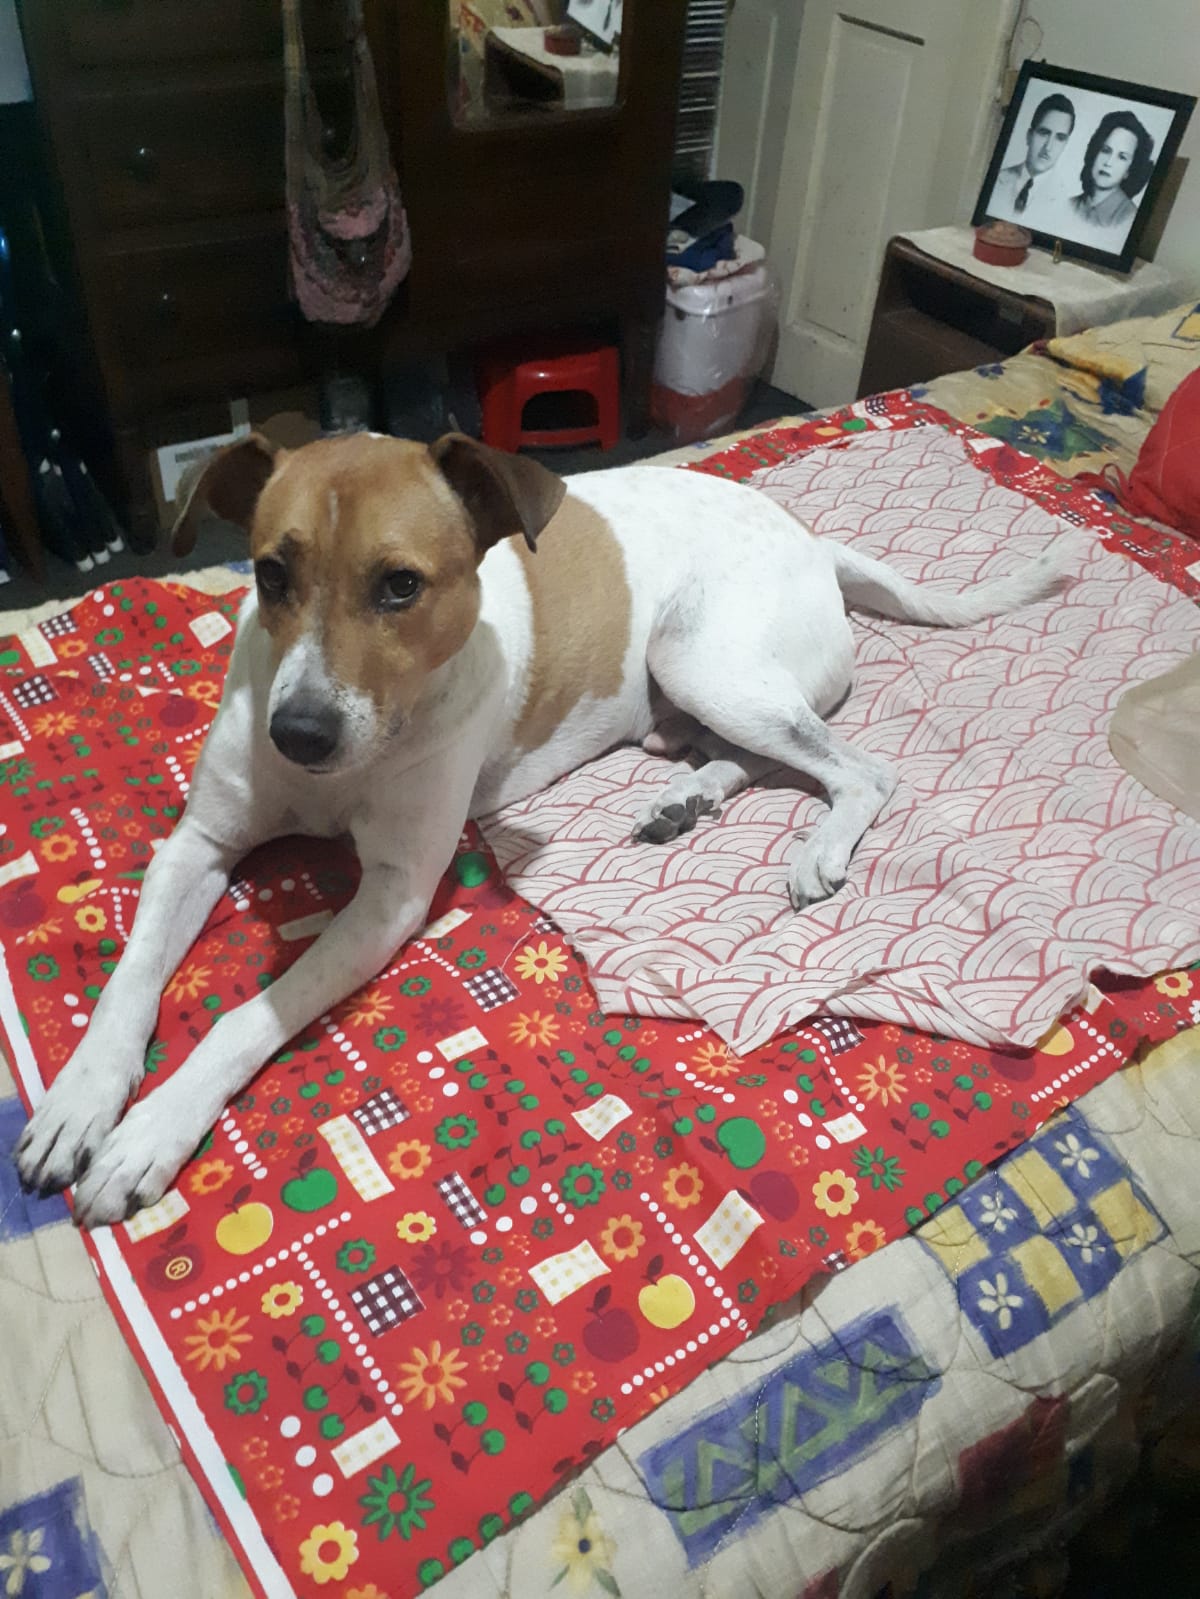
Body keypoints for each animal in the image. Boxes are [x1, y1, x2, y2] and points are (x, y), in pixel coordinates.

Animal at [18, 431, 1062, 1215]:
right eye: (271, 573)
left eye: (400, 586)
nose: (299, 733)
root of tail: (812, 539)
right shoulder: (199, 844)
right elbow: (131, 978)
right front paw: (84, 1099)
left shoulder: (392, 895)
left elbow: (248, 1015)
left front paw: (151, 1131)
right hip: (700, 690)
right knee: (757, 756)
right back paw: (686, 798)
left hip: (703, 658)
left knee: (859, 769)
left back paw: (819, 848)